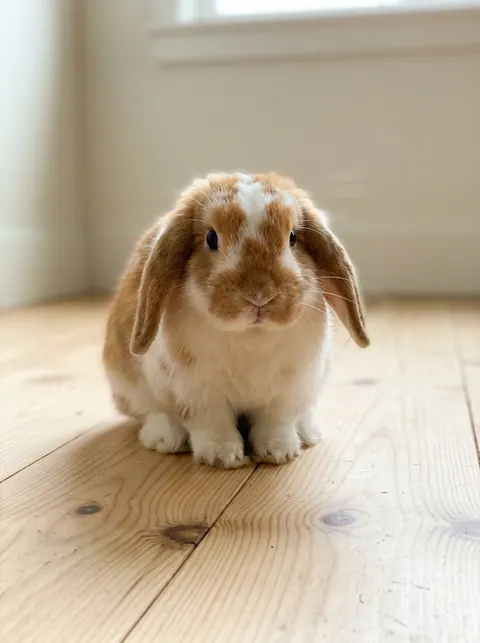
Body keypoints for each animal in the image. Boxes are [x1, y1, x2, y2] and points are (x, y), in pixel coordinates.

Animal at [102, 171, 369, 468]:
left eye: (292, 238)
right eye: (211, 238)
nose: (260, 294)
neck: (251, 334)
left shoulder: (287, 391)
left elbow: (276, 422)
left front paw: (279, 452)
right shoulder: (197, 393)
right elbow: (212, 424)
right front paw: (222, 457)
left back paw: (308, 432)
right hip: (128, 386)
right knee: (151, 413)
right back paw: (164, 438)